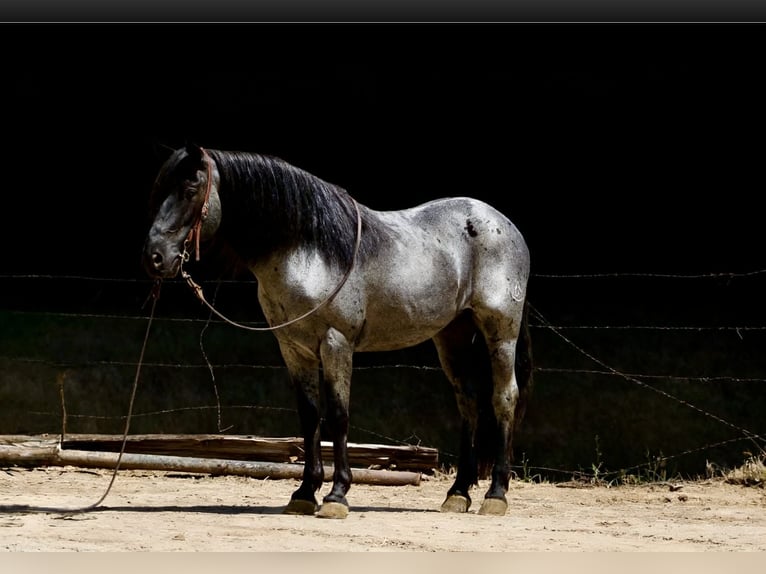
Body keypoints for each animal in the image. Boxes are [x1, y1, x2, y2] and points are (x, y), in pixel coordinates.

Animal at [142, 143, 533, 518]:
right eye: (160, 187)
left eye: (190, 189)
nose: (155, 257)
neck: (308, 250)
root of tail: (503, 224)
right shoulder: (293, 348)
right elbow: (310, 416)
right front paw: (303, 494)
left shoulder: (336, 343)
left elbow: (338, 415)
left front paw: (336, 495)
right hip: (452, 337)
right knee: (469, 402)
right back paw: (458, 494)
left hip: (500, 332)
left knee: (503, 398)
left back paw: (496, 495)